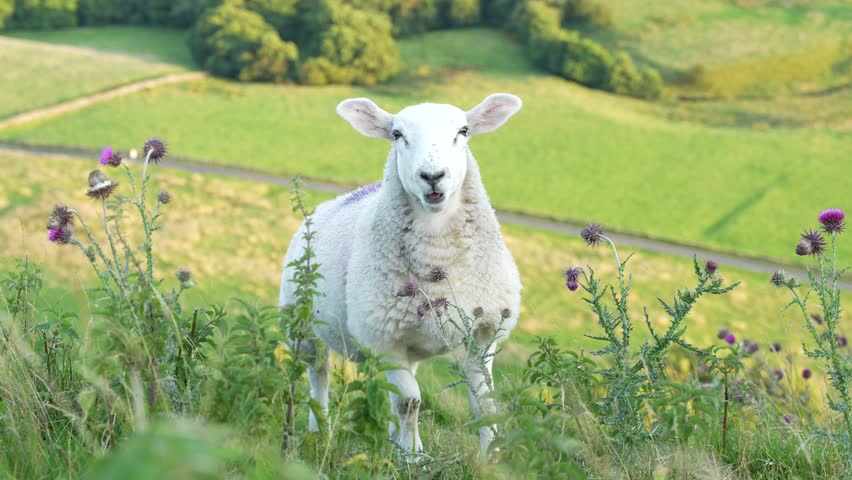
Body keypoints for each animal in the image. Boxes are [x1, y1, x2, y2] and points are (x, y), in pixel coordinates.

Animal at [279, 93, 523, 458]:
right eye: (397, 135)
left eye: (463, 131)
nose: (432, 175)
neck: (438, 256)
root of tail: (341, 198)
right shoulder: (385, 338)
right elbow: (410, 402)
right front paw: (413, 459)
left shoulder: (483, 334)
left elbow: (485, 405)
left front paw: (491, 458)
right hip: (304, 322)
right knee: (318, 374)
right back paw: (319, 431)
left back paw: (394, 439)